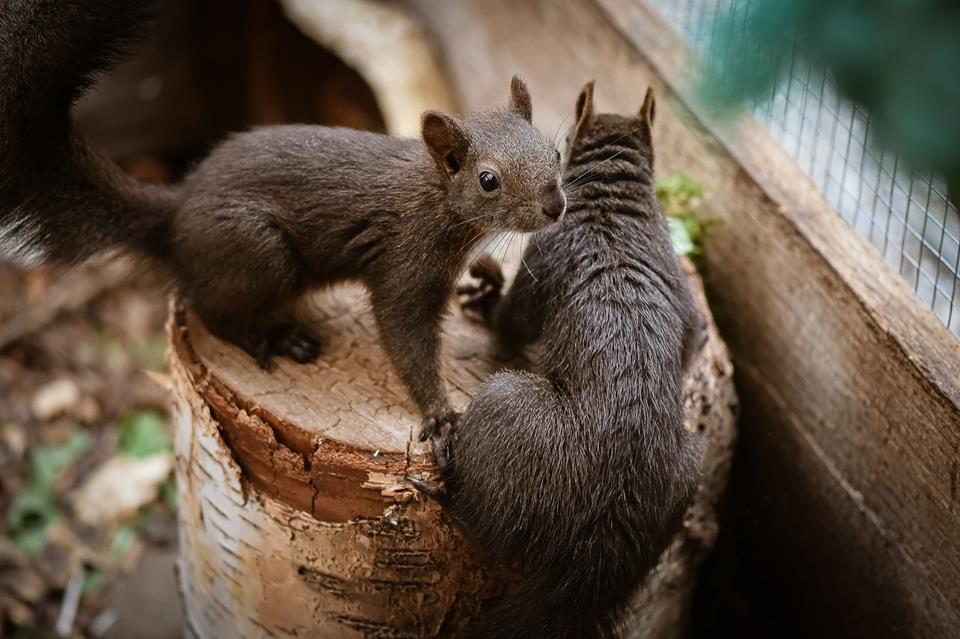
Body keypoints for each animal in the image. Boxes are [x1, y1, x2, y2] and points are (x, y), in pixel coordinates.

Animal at [0, 0, 565, 432]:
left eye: (554, 152)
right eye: (488, 180)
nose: (555, 205)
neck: (438, 198)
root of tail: (175, 215)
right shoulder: (405, 261)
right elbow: (405, 337)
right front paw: (440, 414)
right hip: (259, 252)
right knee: (210, 310)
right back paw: (274, 337)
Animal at [412, 83, 706, 638]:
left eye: (558, 150)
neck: (617, 205)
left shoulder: (545, 256)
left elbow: (511, 323)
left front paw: (488, 296)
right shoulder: (683, 292)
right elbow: (694, 340)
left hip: (505, 409)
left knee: (485, 534)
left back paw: (445, 486)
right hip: (687, 474)